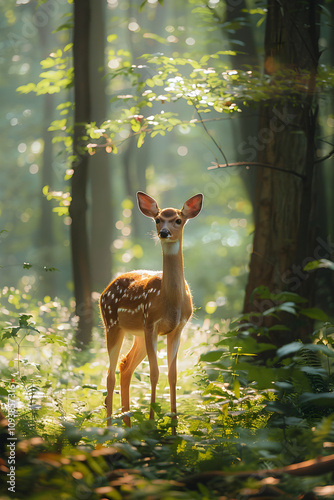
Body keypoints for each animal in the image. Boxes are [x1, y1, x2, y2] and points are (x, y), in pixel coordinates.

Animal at [100, 189, 204, 432]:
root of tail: (104, 291)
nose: (164, 232)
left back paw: (127, 424)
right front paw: (151, 423)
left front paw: (174, 426)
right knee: (110, 374)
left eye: (178, 220)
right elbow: (154, 373)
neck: (170, 302)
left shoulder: (178, 328)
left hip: (136, 334)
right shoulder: (151, 324)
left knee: (125, 366)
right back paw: (109, 429)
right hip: (112, 324)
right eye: (157, 219)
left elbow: (173, 374)